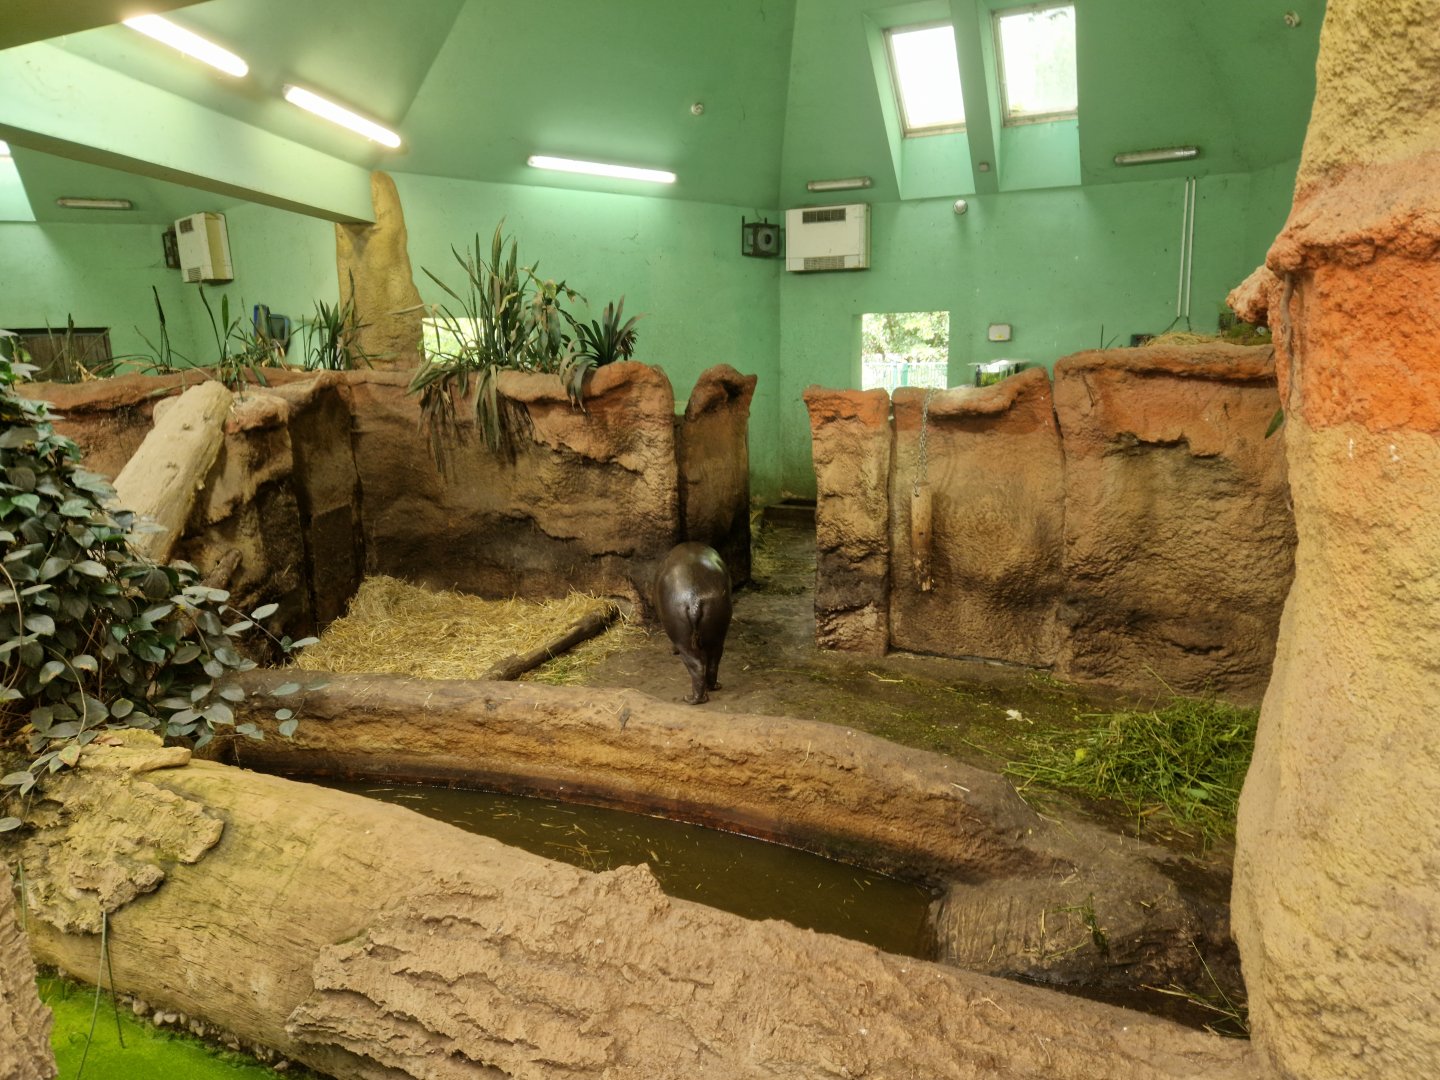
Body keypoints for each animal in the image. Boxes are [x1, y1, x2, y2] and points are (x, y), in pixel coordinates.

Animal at [654, 542, 732, 705]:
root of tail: (694, 599)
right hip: (717, 631)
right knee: (713, 660)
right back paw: (714, 687)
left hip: (683, 639)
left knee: (697, 666)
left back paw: (690, 699)